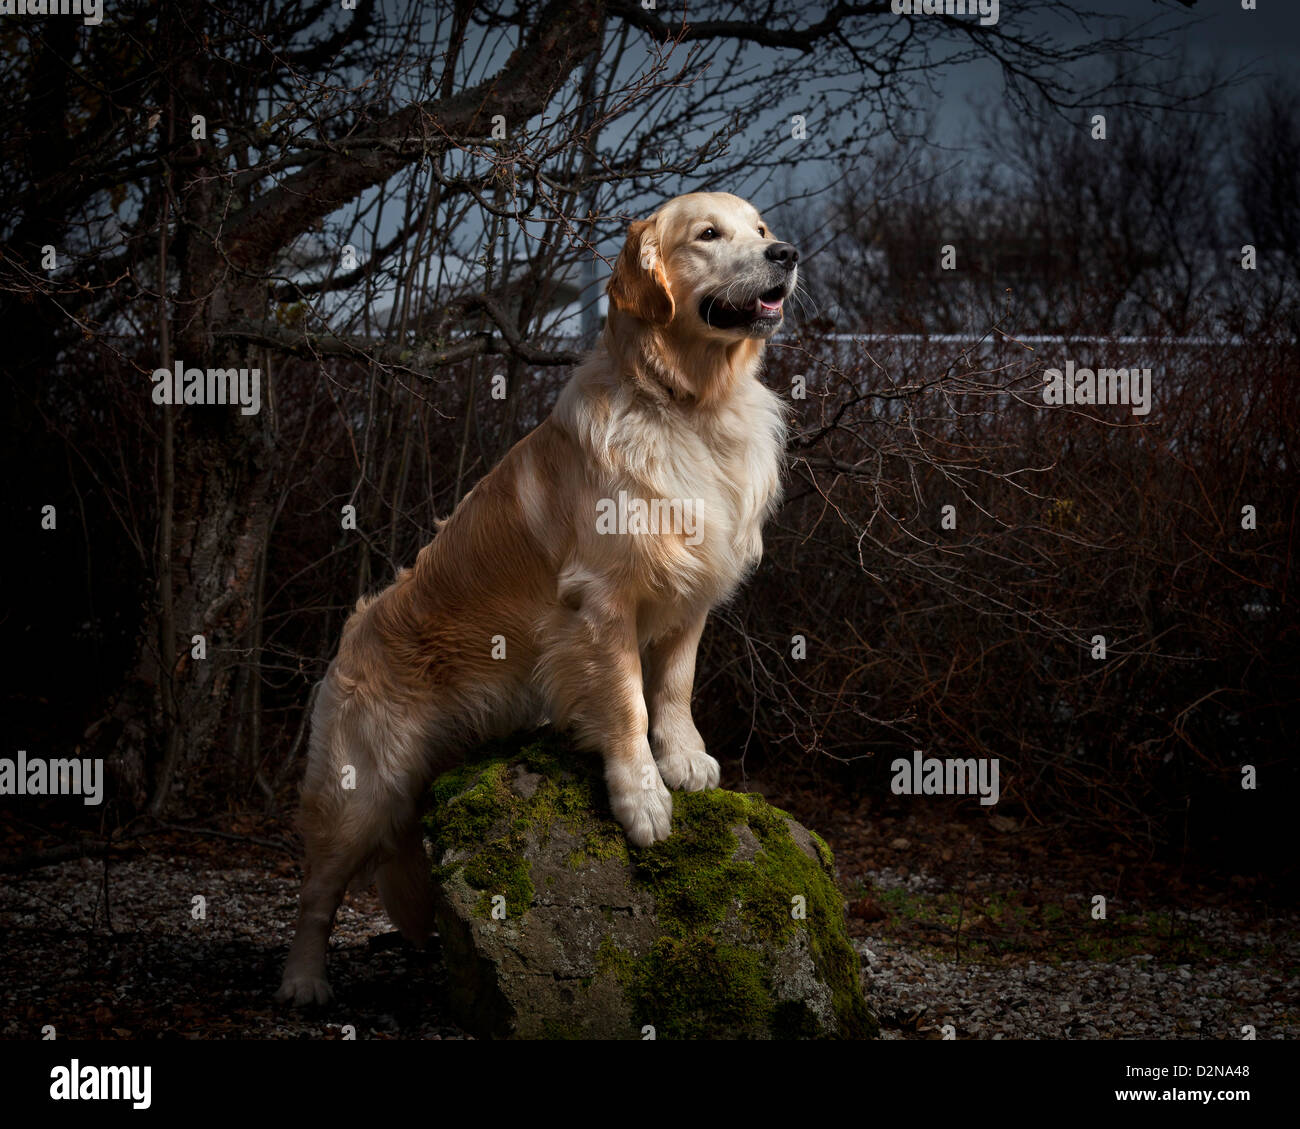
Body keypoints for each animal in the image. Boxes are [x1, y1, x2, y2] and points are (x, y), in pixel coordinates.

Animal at [279, 191, 795, 1004]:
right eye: (709, 235)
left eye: (763, 230)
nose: (788, 255)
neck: (690, 405)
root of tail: (349, 634)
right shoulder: (602, 603)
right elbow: (628, 704)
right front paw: (642, 797)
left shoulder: (690, 597)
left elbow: (673, 688)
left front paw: (685, 758)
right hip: (361, 785)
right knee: (318, 891)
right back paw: (303, 980)